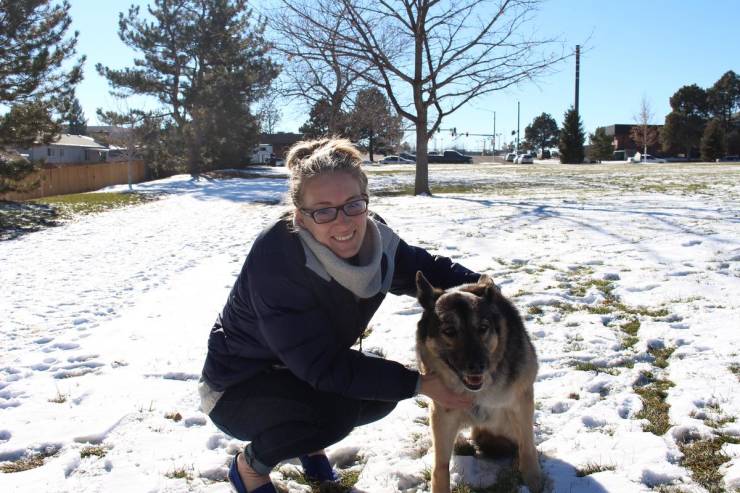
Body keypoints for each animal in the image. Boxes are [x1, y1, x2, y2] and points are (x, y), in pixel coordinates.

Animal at [416, 270, 544, 490]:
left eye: (483, 328)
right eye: (449, 331)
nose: (477, 366)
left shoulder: (521, 403)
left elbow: (528, 447)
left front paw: (533, 481)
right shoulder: (442, 414)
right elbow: (440, 466)